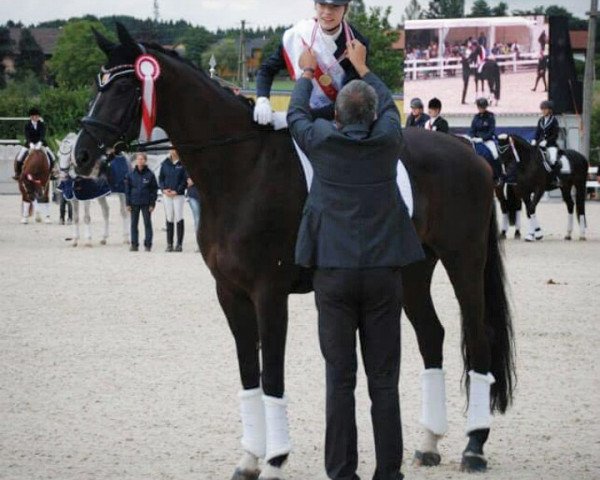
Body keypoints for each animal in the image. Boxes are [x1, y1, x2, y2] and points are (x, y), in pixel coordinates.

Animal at [74, 26, 516, 480]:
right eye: (98, 83)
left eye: (125, 85)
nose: (82, 154)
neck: (242, 167)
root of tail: (471, 155)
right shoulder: (230, 293)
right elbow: (249, 375)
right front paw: (249, 460)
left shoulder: (269, 292)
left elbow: (272, 377)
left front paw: (274, 462)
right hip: (412, 273)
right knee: (432, 335)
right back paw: (429, 443)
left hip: (464, 261)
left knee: (478, 336)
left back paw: (474, 446)